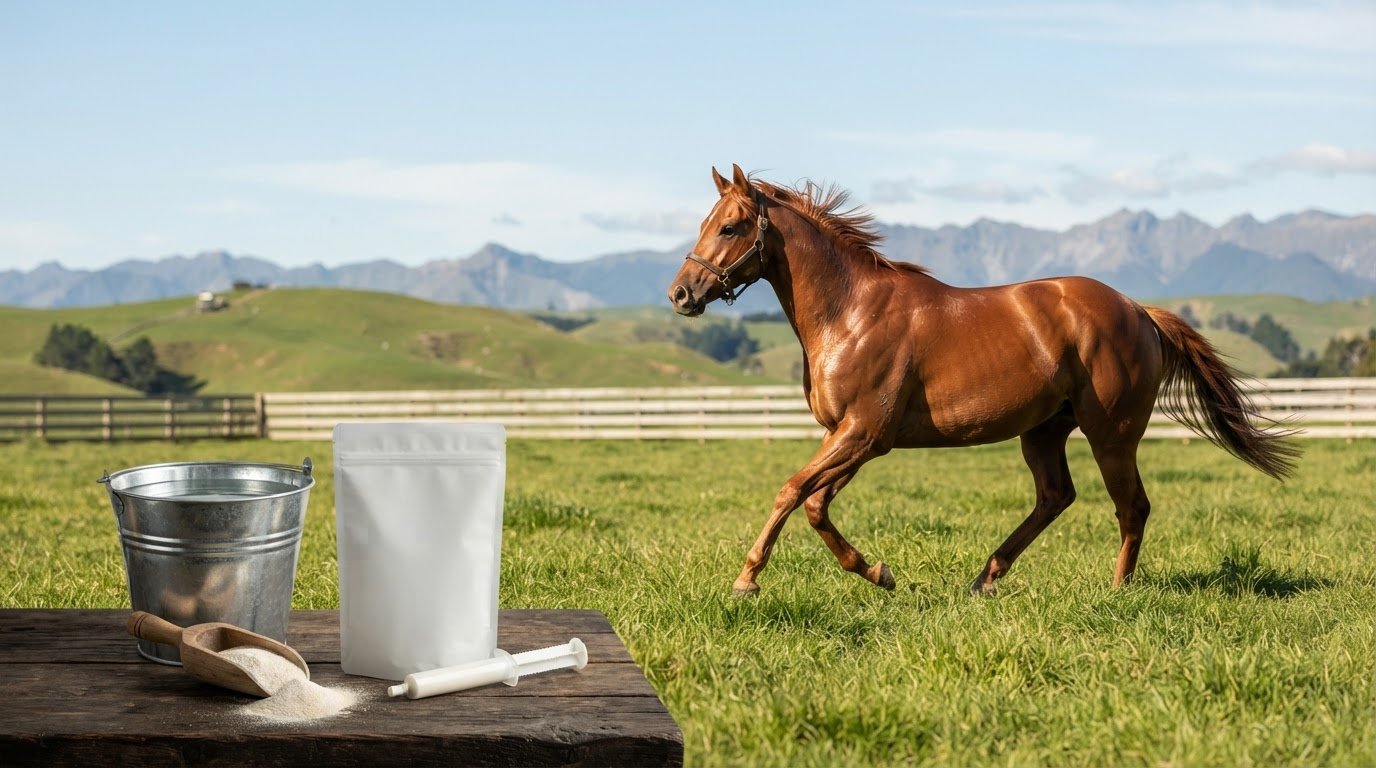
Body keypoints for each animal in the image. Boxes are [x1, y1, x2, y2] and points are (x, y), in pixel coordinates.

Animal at [666, 164, 1298, 597]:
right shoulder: (852, 438)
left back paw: (1117, 589)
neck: (851, 313)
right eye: (704, 223)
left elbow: (793, 491)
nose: (680, 294)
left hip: (1112, 434)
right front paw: (877, 571)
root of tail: (1140, 312)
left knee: (1131, 507)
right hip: (1043, 432)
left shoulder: (863, 434)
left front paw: (749, 579)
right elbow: (816, 503)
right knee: (1056, 497)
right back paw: (986, 577)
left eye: (730, 227)